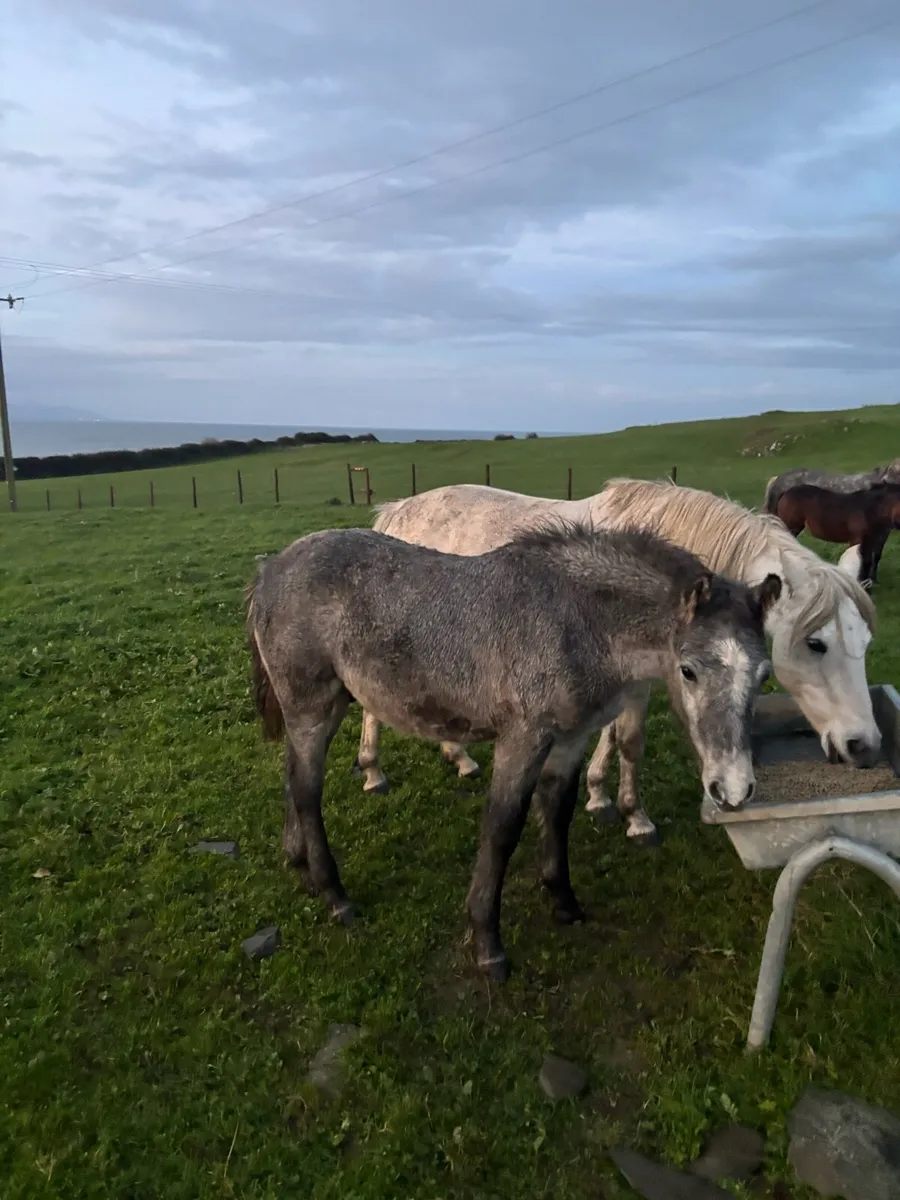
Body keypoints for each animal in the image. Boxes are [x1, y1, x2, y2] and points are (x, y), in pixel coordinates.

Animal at [246, 519, 778, 981]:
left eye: (763, 674)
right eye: (688, 670)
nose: (733, 788)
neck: (576, 621)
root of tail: (270, 569)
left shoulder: (570, 741)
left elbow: (558, 814)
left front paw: (564, 901)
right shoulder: (522, 739)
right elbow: (503, 828)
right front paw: (488, 945)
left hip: (327, 706)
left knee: (293, 777)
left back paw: (301, 865)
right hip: (313, 707)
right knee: (307, 790)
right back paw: (334, 894)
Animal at [356, 479, 878, 848]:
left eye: (866, 642)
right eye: (816, 643)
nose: (864, 746)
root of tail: (394, 512)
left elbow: (612, 736)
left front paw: (600, 796)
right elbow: (630, 740)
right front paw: (634, 817)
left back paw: (459, 757)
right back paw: (373, 771)